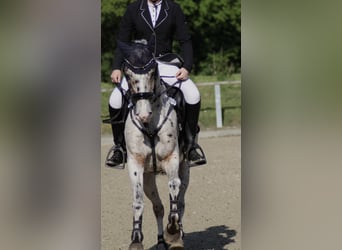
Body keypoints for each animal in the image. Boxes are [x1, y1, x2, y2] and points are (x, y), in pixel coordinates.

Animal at [118, 40, 190, 249]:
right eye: (127, 74)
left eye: (152, 72)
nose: (143, 115)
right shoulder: (136, 164)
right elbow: (137, 200)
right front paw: (135, 239)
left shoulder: (172, 158)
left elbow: (174, 188)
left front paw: (172, 230)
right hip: (149, 176)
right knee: (158, 207)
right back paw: (160, 241)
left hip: (185, 167)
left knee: (180, 201)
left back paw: (177, 235)